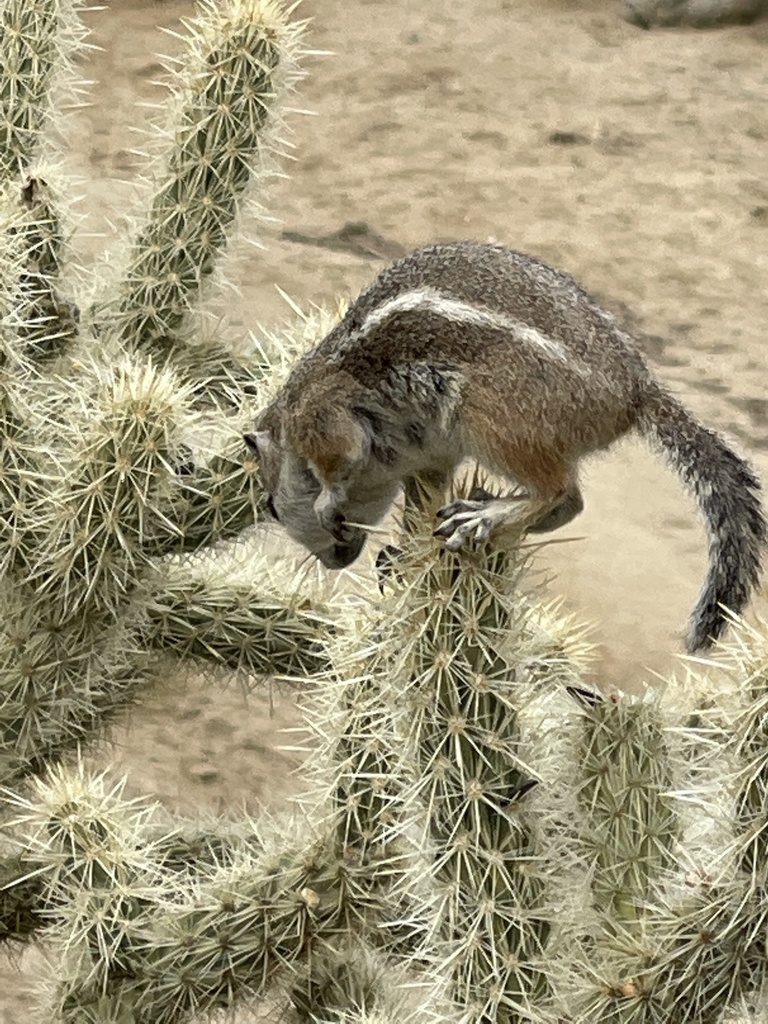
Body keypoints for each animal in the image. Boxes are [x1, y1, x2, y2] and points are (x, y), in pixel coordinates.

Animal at [245, 240, 766, 652]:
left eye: (270, 506)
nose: (333, 561)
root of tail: (637, 393)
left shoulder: (323, 418)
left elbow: (338, 461)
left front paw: (327, 503)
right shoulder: (428, 458)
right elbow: (421, 503)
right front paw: (402, 553)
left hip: (493, 418)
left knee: (557, 490)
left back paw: (488, 515)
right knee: (571, 502)